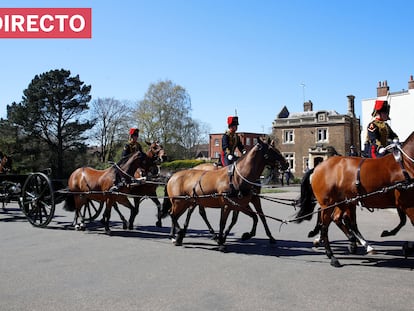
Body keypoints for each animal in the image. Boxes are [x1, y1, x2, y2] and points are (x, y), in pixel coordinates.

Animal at [296, 133, 414, 266]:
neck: (405, 164)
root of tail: (318, 167)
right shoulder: (407, 203)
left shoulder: (403, 203)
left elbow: (402, 221)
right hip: (330, 203)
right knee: (326, 226)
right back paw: (333, 254)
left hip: (343, 202)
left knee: (336, 219)